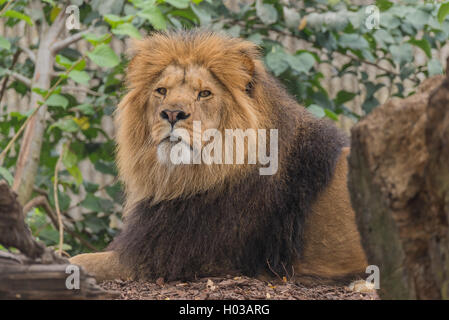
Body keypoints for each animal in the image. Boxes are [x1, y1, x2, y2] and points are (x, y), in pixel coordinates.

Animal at [68, 30, 366, 284]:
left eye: (204, 93)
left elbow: (80, 260)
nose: (172, 113)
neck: (185, 176)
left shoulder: (170, 257)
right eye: (161, 91)